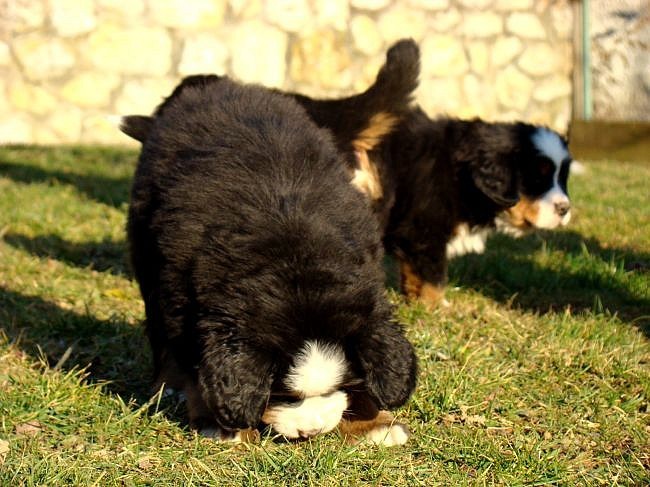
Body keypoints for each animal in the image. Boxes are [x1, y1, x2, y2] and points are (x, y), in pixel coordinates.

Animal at [121, 41, 420, 446]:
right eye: (283, 394)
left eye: (340, 385)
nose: (311, 431)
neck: (296, 257)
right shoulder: (184, 293)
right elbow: (194, 359)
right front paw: (221, 422)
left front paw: (372, 422)